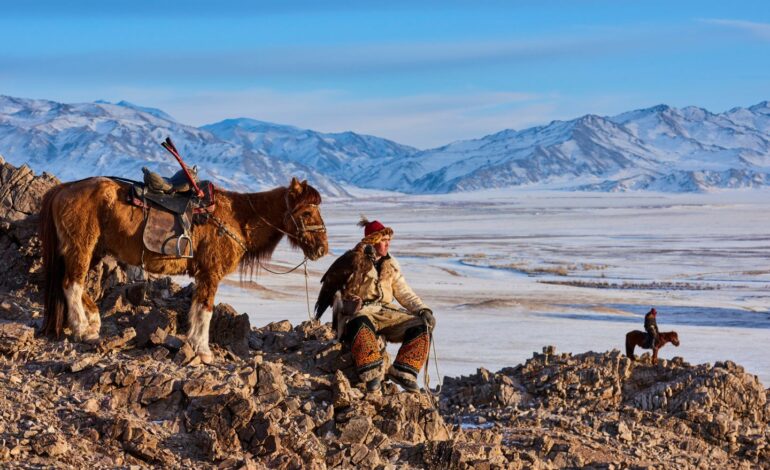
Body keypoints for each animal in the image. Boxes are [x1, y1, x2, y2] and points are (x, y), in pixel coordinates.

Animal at [39, 174, 328, 362]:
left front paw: (194, 343)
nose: (323, 249)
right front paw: (203, 350)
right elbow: (205, 311)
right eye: (306, 213)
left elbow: (196, 308)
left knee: (77, 286)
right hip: (81, 247)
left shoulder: (203, 275)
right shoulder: (211, 274)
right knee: (72, 285)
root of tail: (64, 189)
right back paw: (81, 330)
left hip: (95, 251)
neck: (237, 217)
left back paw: (93, 323)